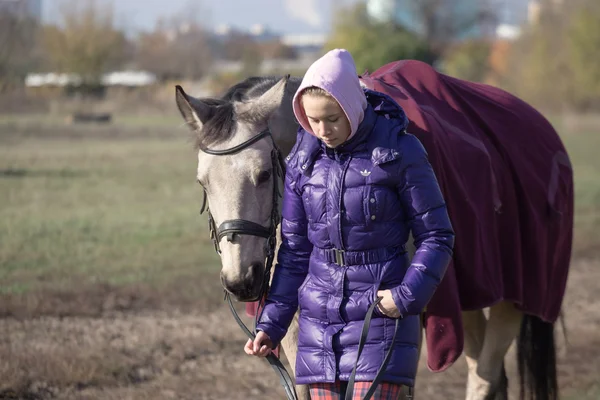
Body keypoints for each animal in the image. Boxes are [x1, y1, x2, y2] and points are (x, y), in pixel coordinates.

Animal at [173, 60, 572, 400]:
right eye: (202, 182)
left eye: (264, 174)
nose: (240, 280)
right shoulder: (297, 324)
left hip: (513, 300)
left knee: (484, 375)